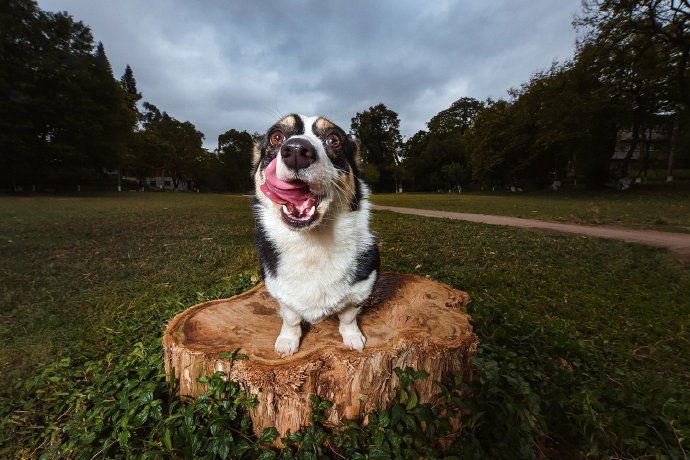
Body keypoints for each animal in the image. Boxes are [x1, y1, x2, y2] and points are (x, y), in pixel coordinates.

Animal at [253, 113, 378, 358]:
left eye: (334, 140)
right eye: (276, 137)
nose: (296, 151)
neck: (313, 240)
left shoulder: (362, 287)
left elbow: (348, 316)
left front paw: (352, 338)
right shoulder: (280, 292)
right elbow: (291, 318)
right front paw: (288, 341)